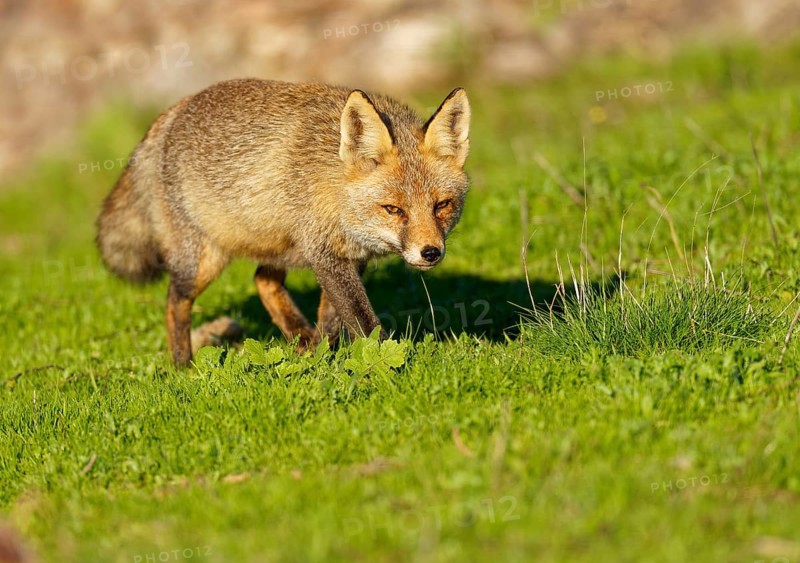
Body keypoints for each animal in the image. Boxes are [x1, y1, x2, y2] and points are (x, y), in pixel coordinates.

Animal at [96, 79, 471, 366]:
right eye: (393, 209)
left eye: (441, 205)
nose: (430, 253)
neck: (335, 186)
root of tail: (172, 112)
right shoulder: (326, 254)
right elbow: (362, 321)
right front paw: (384, 360)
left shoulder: (349, 257)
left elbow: (332, 317)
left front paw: (326, 356)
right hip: (202, 263)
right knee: (175, 302)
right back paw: (183, 365)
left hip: (281, 248)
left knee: (262, 279)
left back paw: (301, 338)